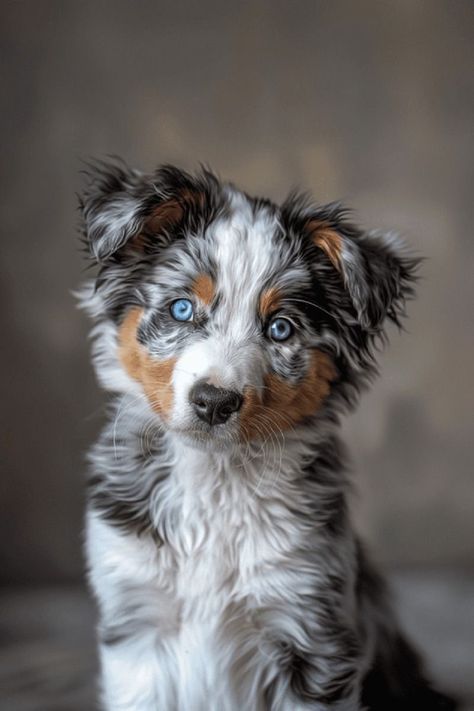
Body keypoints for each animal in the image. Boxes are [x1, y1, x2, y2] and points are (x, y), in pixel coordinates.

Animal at [78, 163, 456, 711]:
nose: (214, 401)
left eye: (280, 329)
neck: (216, 476)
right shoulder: (138, 623)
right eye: (181, 309)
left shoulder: (311, 629)